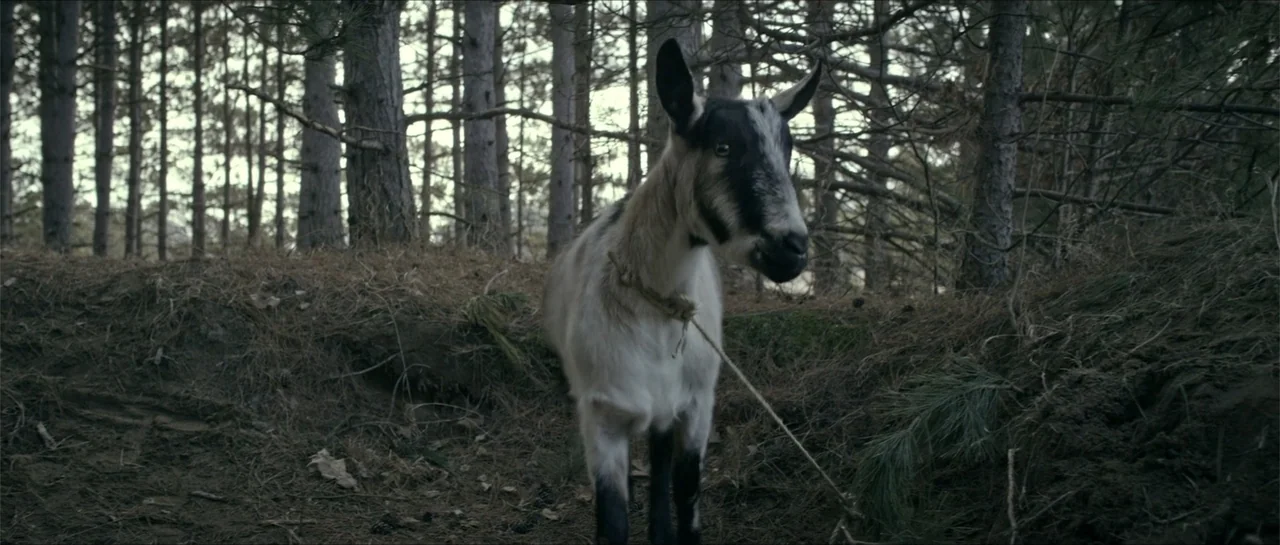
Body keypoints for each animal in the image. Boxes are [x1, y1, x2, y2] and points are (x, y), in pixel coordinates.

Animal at [542, 38, 821, 545]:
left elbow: (685, 496)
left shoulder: (695, 408)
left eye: (788, 150)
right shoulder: (601, 415)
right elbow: (613, 520)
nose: (792, 248)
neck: (656, 309)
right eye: (723, 147)